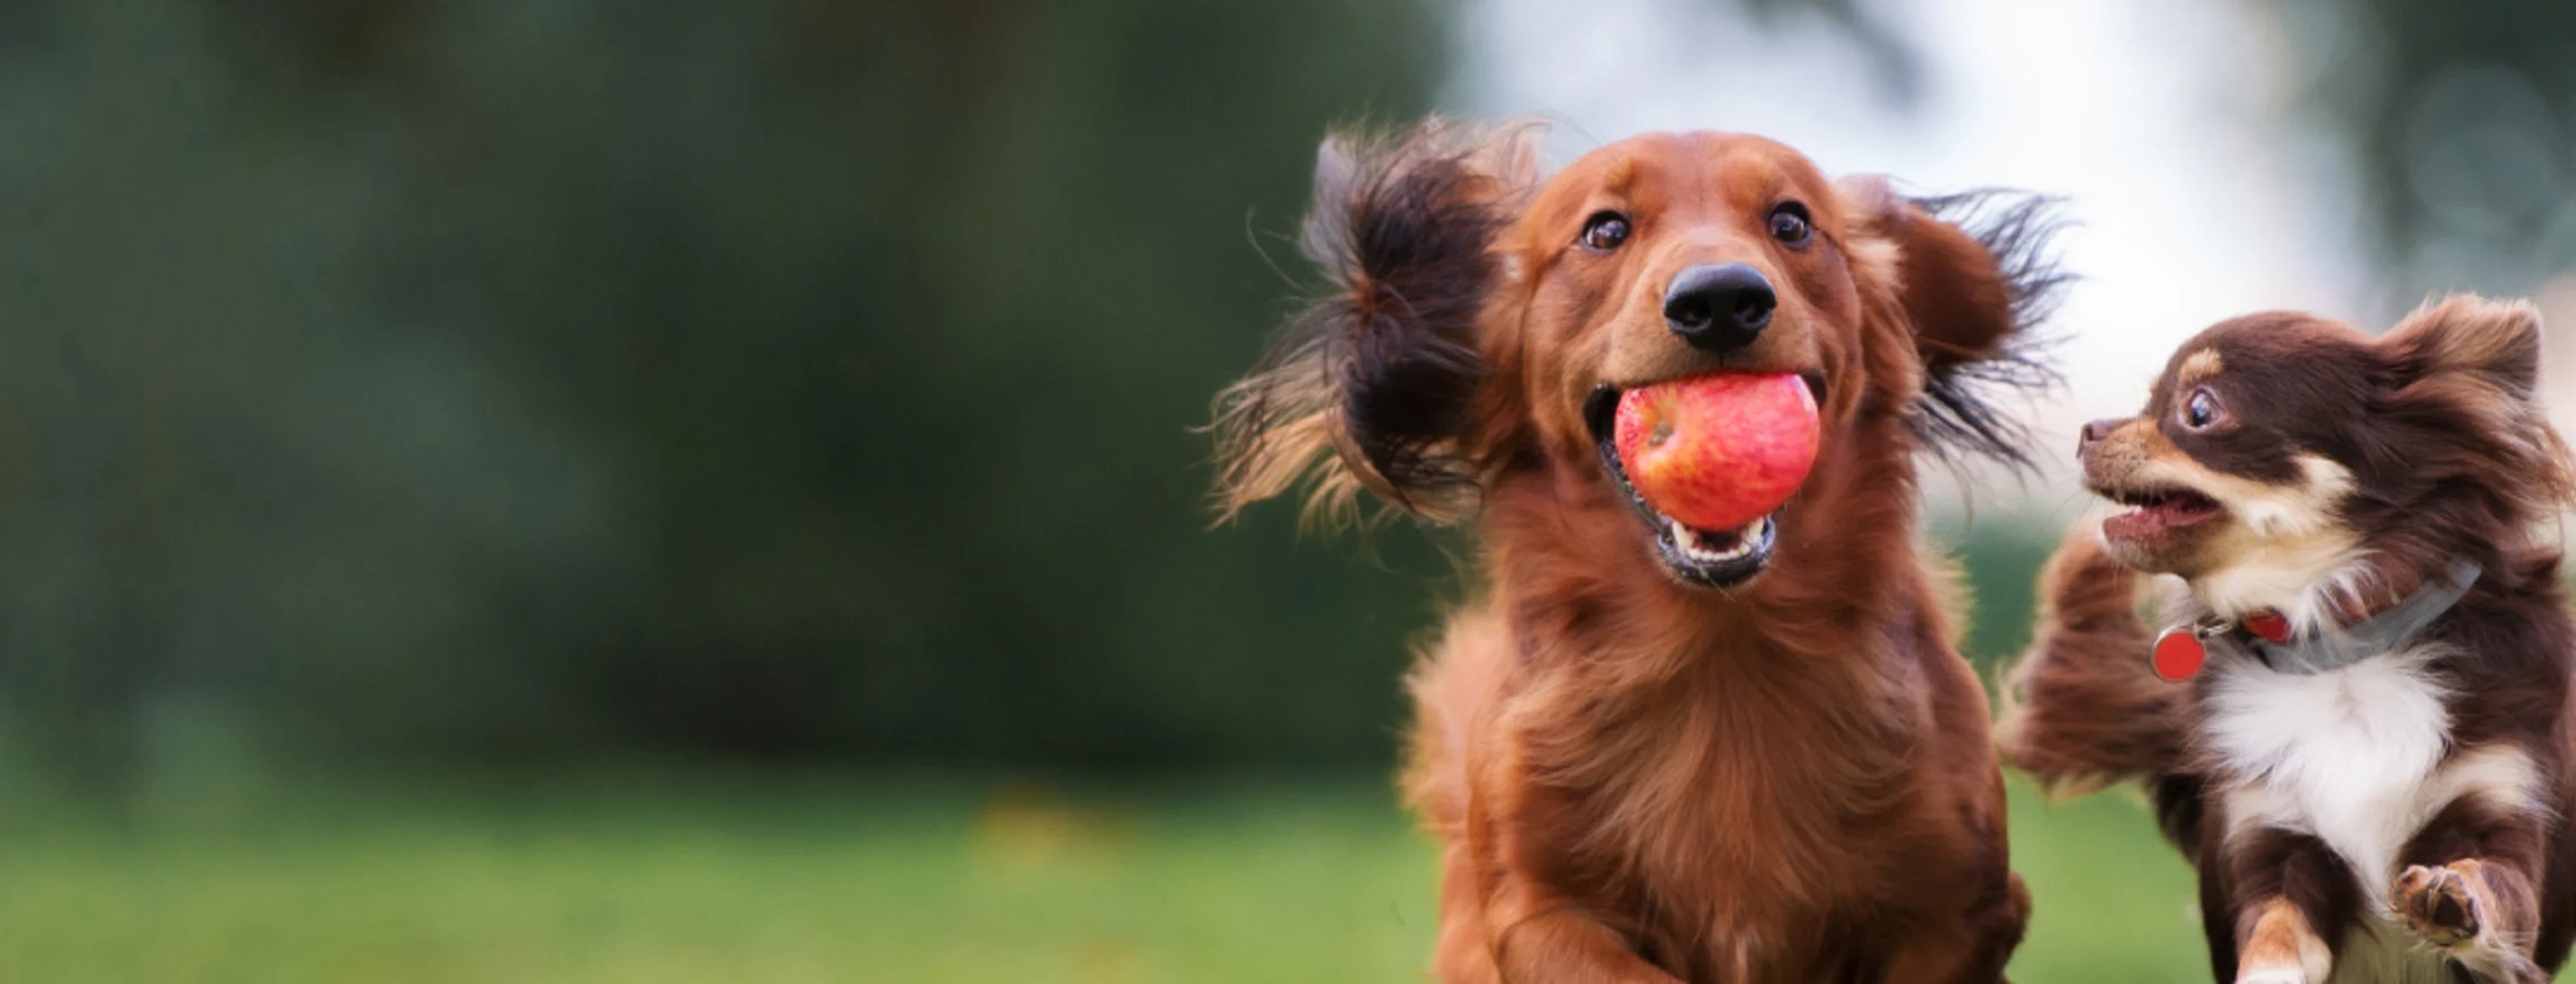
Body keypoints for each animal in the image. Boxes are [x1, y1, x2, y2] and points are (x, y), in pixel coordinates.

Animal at [1215, 119, 2061, 979]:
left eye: (1792, 222)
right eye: (1605, 230)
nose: (1720, 301)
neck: (1722, 655)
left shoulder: (1965, 906)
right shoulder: (1536, 911)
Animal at [1998, 297, 2576, 984]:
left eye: (2199, 409)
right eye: (2149, 400)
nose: (2089, 429)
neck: (2336, 653)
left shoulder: (2500, 820)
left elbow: (2488, 883)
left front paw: (2448, 899)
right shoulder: (2273, 843)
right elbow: (2272, 935)